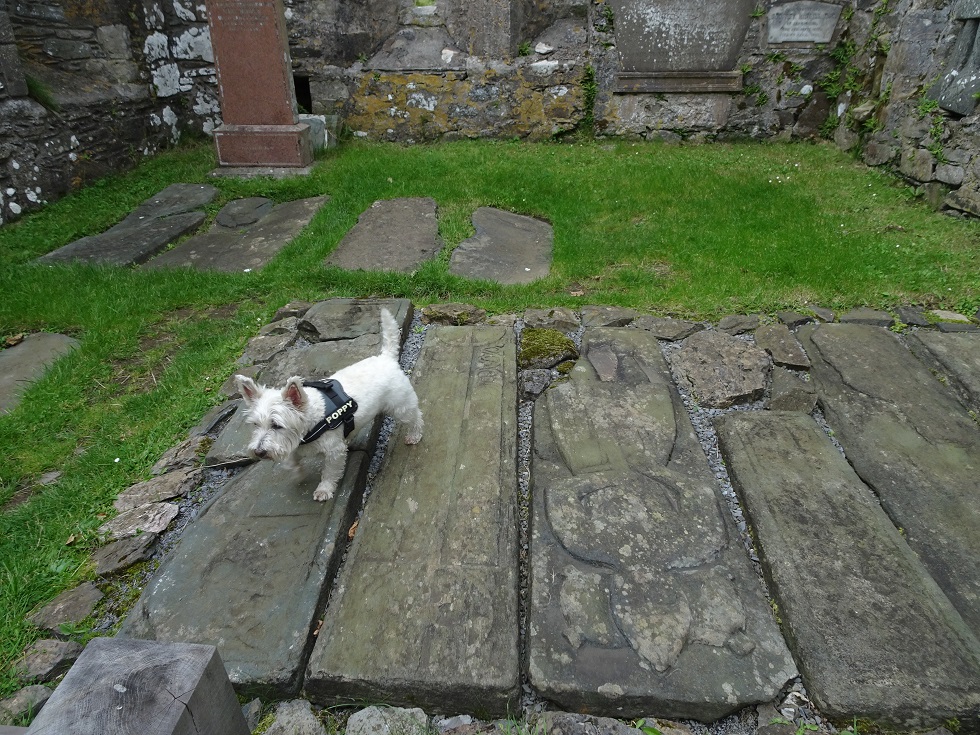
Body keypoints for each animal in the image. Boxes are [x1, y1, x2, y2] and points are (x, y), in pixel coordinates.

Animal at [238, 308, 424, 504]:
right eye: (255, 425)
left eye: (277, 425)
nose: (259, 452)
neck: (311, 422)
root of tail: (386, 358)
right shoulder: (294, 445)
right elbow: (291, 461)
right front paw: (297, 474)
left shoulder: (334, 452)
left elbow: (329, 472)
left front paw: (324, 490)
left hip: (401, 406)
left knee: (415, 417)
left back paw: (414, 435)